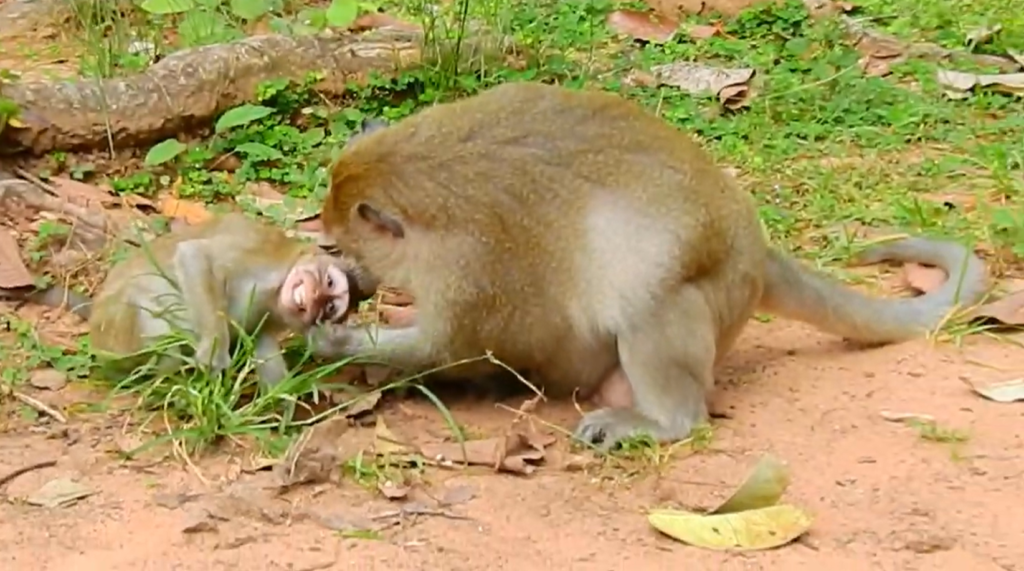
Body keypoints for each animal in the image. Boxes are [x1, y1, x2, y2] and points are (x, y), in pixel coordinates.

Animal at [75, 213, 372, 387]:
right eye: (328, 283)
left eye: (329, 307)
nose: (315, 299)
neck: (277, 287)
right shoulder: (261, 252)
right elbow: (195, 256)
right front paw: (215, 352)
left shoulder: (272, 312)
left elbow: (260, 339)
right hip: (116, 332)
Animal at [306, 81, 989, 451]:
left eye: (338, 245)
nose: (351, 280)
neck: (425, 176)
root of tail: (757, 249)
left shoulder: (475, 266)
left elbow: (457, 349)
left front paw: (331, 342)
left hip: (709, 298)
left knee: (649, 296)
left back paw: (666, 421)